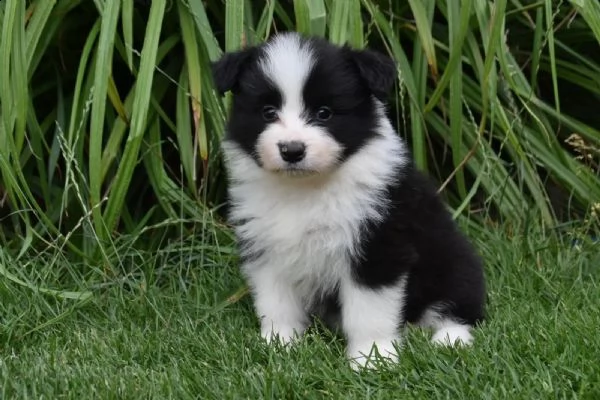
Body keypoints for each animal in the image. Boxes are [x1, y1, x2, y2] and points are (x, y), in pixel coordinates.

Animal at [213, 31, 486, 368]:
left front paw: (372, 358)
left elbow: (368, 311)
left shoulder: (376, 246)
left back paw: (448, 340)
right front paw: (278, 345)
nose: (292, 150)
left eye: (324, 113)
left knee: (459, 307)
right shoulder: (267, 245)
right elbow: (276, 301)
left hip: (453, 261)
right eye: (268, 112)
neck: (306, 189)